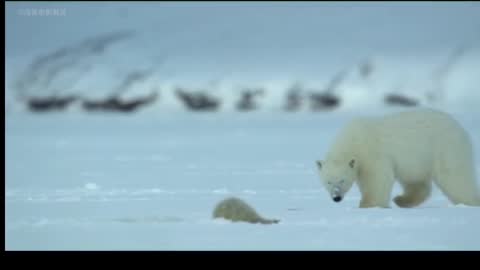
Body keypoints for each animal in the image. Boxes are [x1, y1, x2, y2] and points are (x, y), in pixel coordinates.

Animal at [316, 108, 480, 208]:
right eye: (328, 182)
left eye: (342, 180)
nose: (336, 197)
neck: (353, 141)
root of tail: (460, 128)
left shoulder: (371, 155)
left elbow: (377, 179)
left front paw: (368, 205)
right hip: (419, 158)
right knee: (416, 182)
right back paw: (402, 200)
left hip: (446, 148)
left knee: (454, 177)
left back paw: (470, 201)